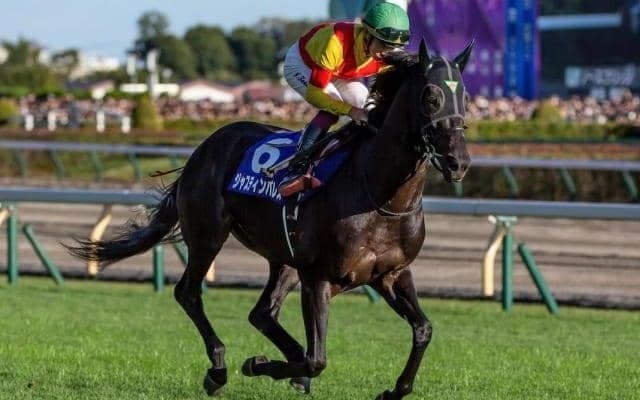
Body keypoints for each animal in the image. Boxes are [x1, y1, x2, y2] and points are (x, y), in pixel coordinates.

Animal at [68, 39, 472, 400]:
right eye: (431, 97)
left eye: (465, 99)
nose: (459, 162)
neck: (378, 192)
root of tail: (204, 147)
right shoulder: (319, 277)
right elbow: (317, 359)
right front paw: (257, 364)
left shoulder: (392, 274)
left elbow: (423, 329)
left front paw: (394, 390)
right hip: (209, 235)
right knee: (189, 293)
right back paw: (219, 369)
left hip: (284, 258)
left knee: (261, 313)